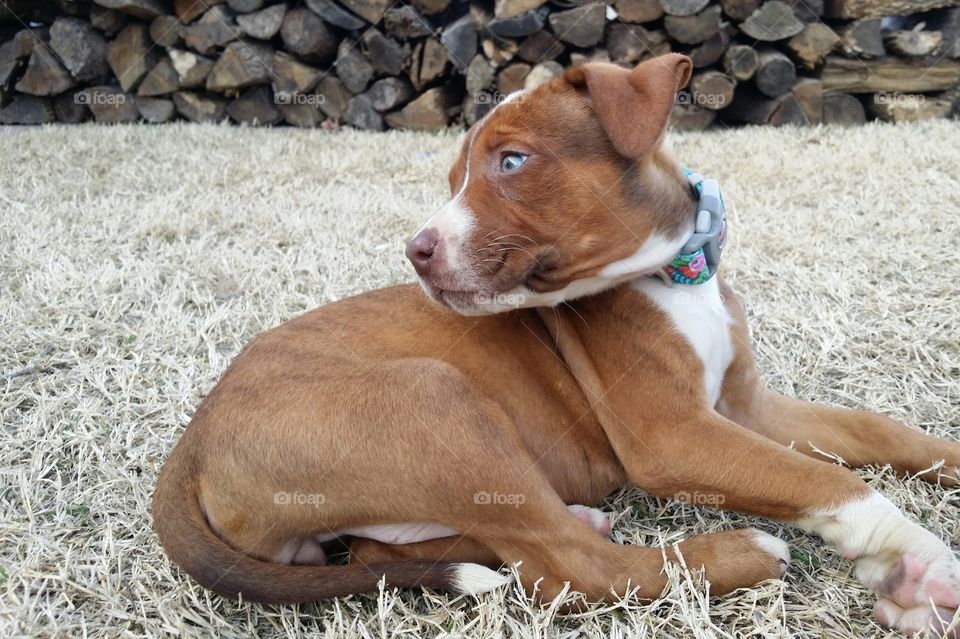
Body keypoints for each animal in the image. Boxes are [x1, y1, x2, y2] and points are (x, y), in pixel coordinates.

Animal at [154, 55, 960, 636]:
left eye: (510, 163)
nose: (416, 251)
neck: (676, 273)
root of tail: (189, 449)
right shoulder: (674, 434)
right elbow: (822, 478)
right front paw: (914, 561)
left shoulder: (745, 405)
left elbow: (876, 431)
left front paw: (944, 465)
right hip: (435, 400)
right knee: (568, 573)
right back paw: (732, 553)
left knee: (412, 550)